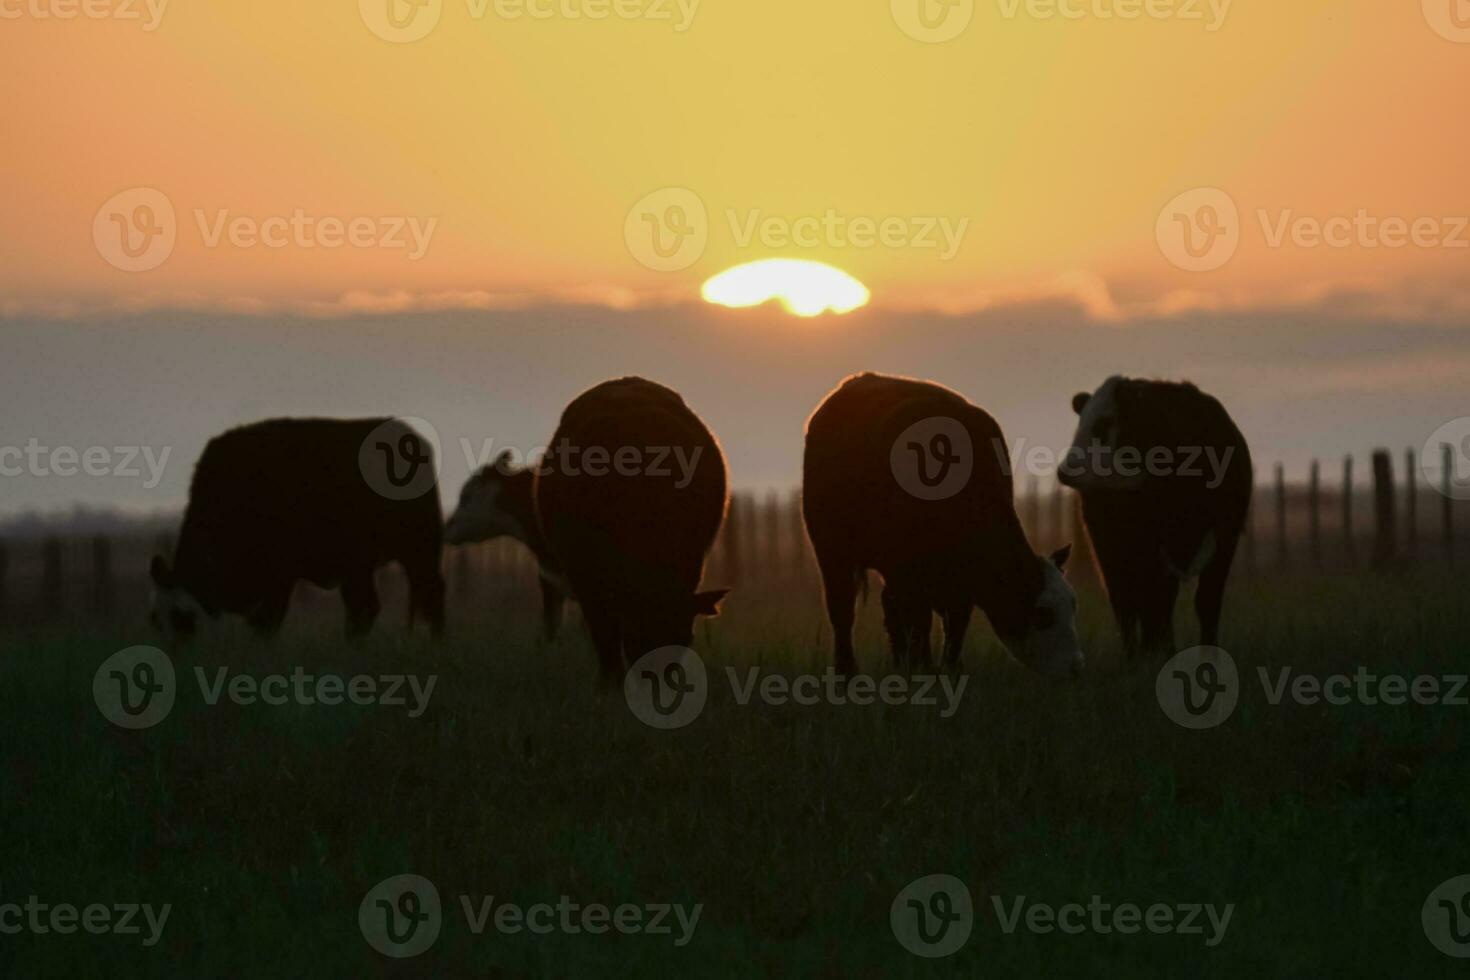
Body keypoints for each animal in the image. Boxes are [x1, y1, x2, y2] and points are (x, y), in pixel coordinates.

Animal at [149, 417, 449, 640]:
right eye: (154, 621)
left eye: (183, 619)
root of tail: (411, 437)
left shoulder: (280, 573)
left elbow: (268, 621)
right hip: (360, 565)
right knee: (365, 607)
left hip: (419, 550)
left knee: (430, 595)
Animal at [805, 371, 1081, 678]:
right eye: (1043, 614)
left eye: (1073, 605)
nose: (1076, 666)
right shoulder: (908, 570)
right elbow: (920, 621)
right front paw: (924, 668)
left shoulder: (954, 586)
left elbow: (955, 626)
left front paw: (949, 668)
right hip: (831, 550)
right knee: (842, 609)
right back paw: (848, 670)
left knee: (889, 605)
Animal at [1058, 376, 1252, 658]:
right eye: (1080, 422)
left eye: (1104, 423)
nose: (1065, 471)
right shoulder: (1133, 546)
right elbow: (1144, 601)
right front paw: (1152, 653)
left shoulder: (1225, 536)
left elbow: (1204, 600)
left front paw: (1206, 654)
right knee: (1128, 600)